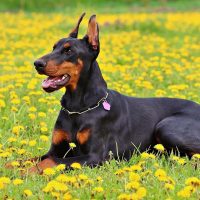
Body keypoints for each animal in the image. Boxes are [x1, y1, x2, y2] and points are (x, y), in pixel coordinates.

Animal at [31, 13, 200, 173]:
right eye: (54, 47)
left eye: (69, 50)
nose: (37, 63)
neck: (78, 107)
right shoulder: (55, 150)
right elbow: (31, 159)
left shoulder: (94, 156)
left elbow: (48, 162)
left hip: (165, 127)